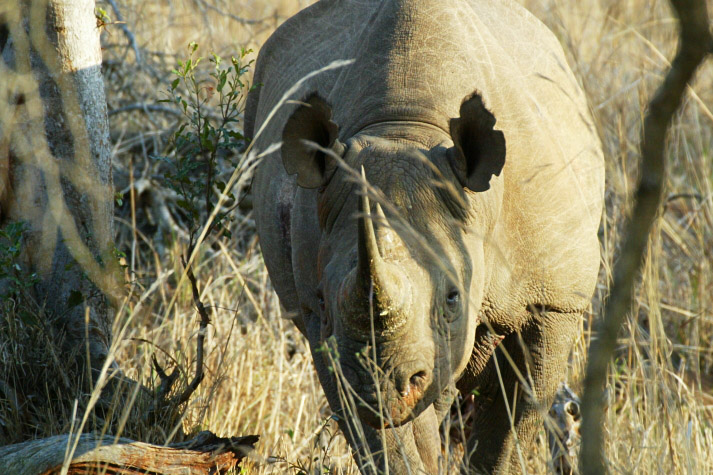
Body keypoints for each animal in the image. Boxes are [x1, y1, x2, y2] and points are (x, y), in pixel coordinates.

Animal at [245, 0, 604, 472]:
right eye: (323, 297)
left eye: (453, 297)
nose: (380, 388)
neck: (407, 128)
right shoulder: (323, 321)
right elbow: (391, 443)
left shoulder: (553, 301)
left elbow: (512, 427)